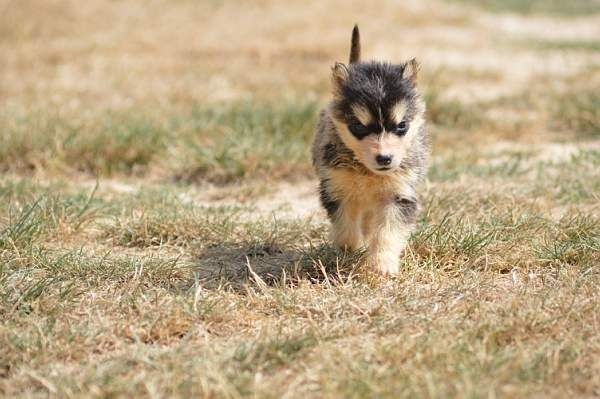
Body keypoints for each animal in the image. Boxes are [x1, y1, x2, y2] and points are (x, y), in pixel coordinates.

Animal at [312, 25, 428, 276]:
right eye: (358, 127)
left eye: (402, 126)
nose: (384, 158)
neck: (368, 173)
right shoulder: (336, 188)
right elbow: (346, 229)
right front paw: (352, 247)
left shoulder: (399, 195)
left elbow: (387, 233)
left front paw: (382, 265)